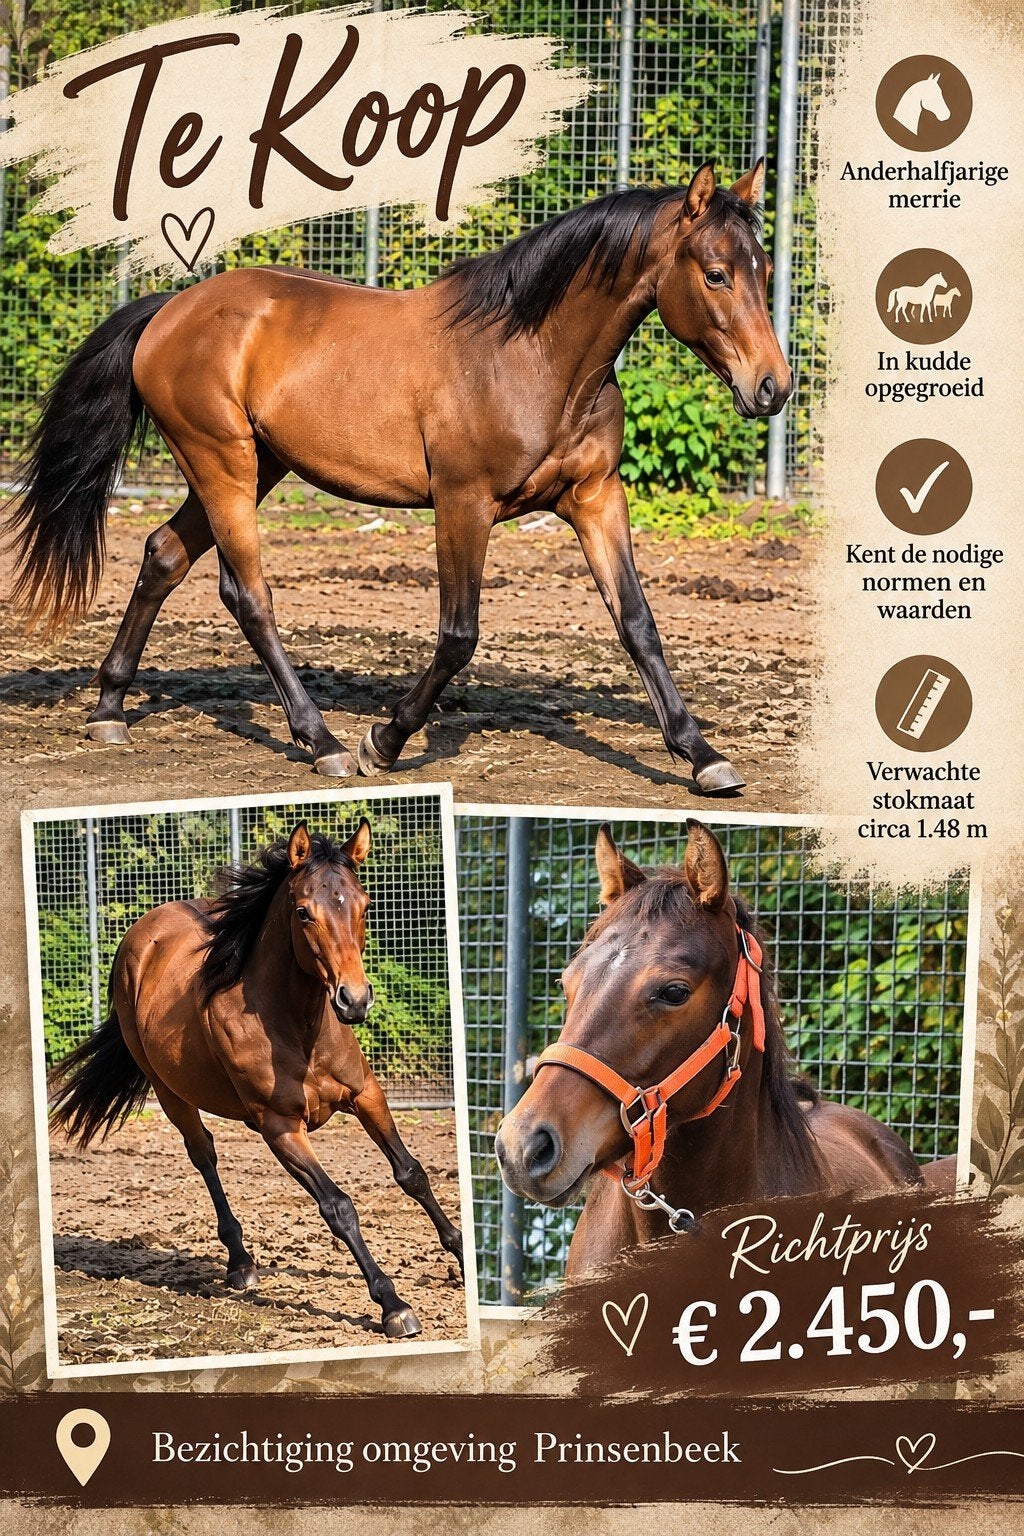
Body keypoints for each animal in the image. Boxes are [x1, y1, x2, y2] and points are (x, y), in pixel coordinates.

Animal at [4, 161, 791, 796]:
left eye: (764, 271)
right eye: (716, 273)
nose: (773, 387)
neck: (533, 355)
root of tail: (168, 309)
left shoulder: (595, 498)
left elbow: (638, 624)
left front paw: (702, 756)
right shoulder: (463, 503)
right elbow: (458, 634)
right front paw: (382, 740)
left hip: (254, 468)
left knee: (164, 554)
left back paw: (109, 710)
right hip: (221, 463)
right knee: (247, 594)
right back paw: (321, 741)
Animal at [48, 819, 463, 1338]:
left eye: (365, 905)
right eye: (304, 912)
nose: (354, 1000)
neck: (297, 1026)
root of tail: (141, 937)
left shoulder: (366, 1095)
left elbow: (412, 1174)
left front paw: (463, 1255)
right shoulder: (280, 1126)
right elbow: (339, 1206)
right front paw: (393, 1304)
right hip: (170, 1092)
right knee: (204, 1154)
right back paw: (240, 1263)